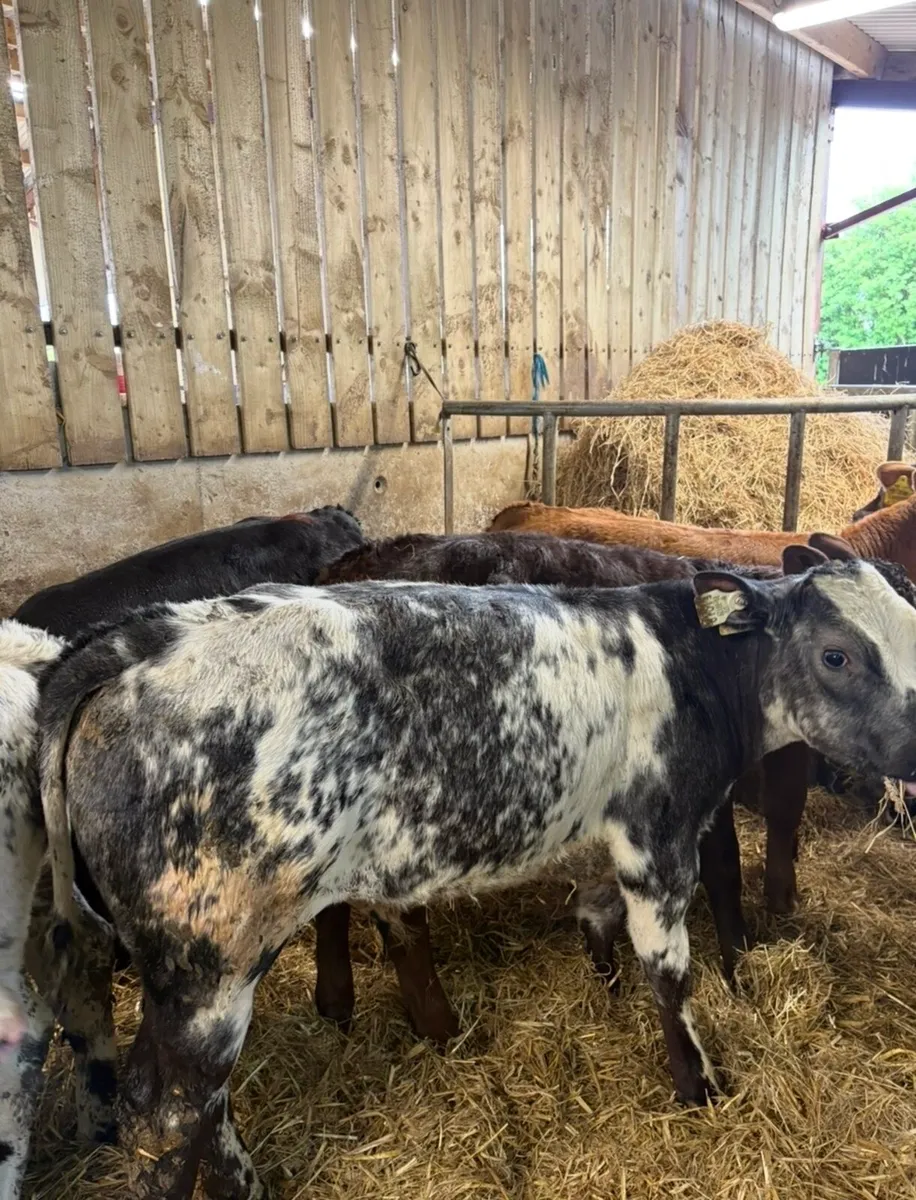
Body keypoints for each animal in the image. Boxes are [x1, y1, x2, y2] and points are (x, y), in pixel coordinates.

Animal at [36, 552, 916, 1196]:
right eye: (837, 656)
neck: (692, 663)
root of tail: (150, 636)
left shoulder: (600, 832)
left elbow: (595, 919)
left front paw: (605, 996)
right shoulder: (658, 836)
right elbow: (670, 975)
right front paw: (697, 1084)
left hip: (174, 970)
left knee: (182, 1105)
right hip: (212, 962)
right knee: (171, 1115)